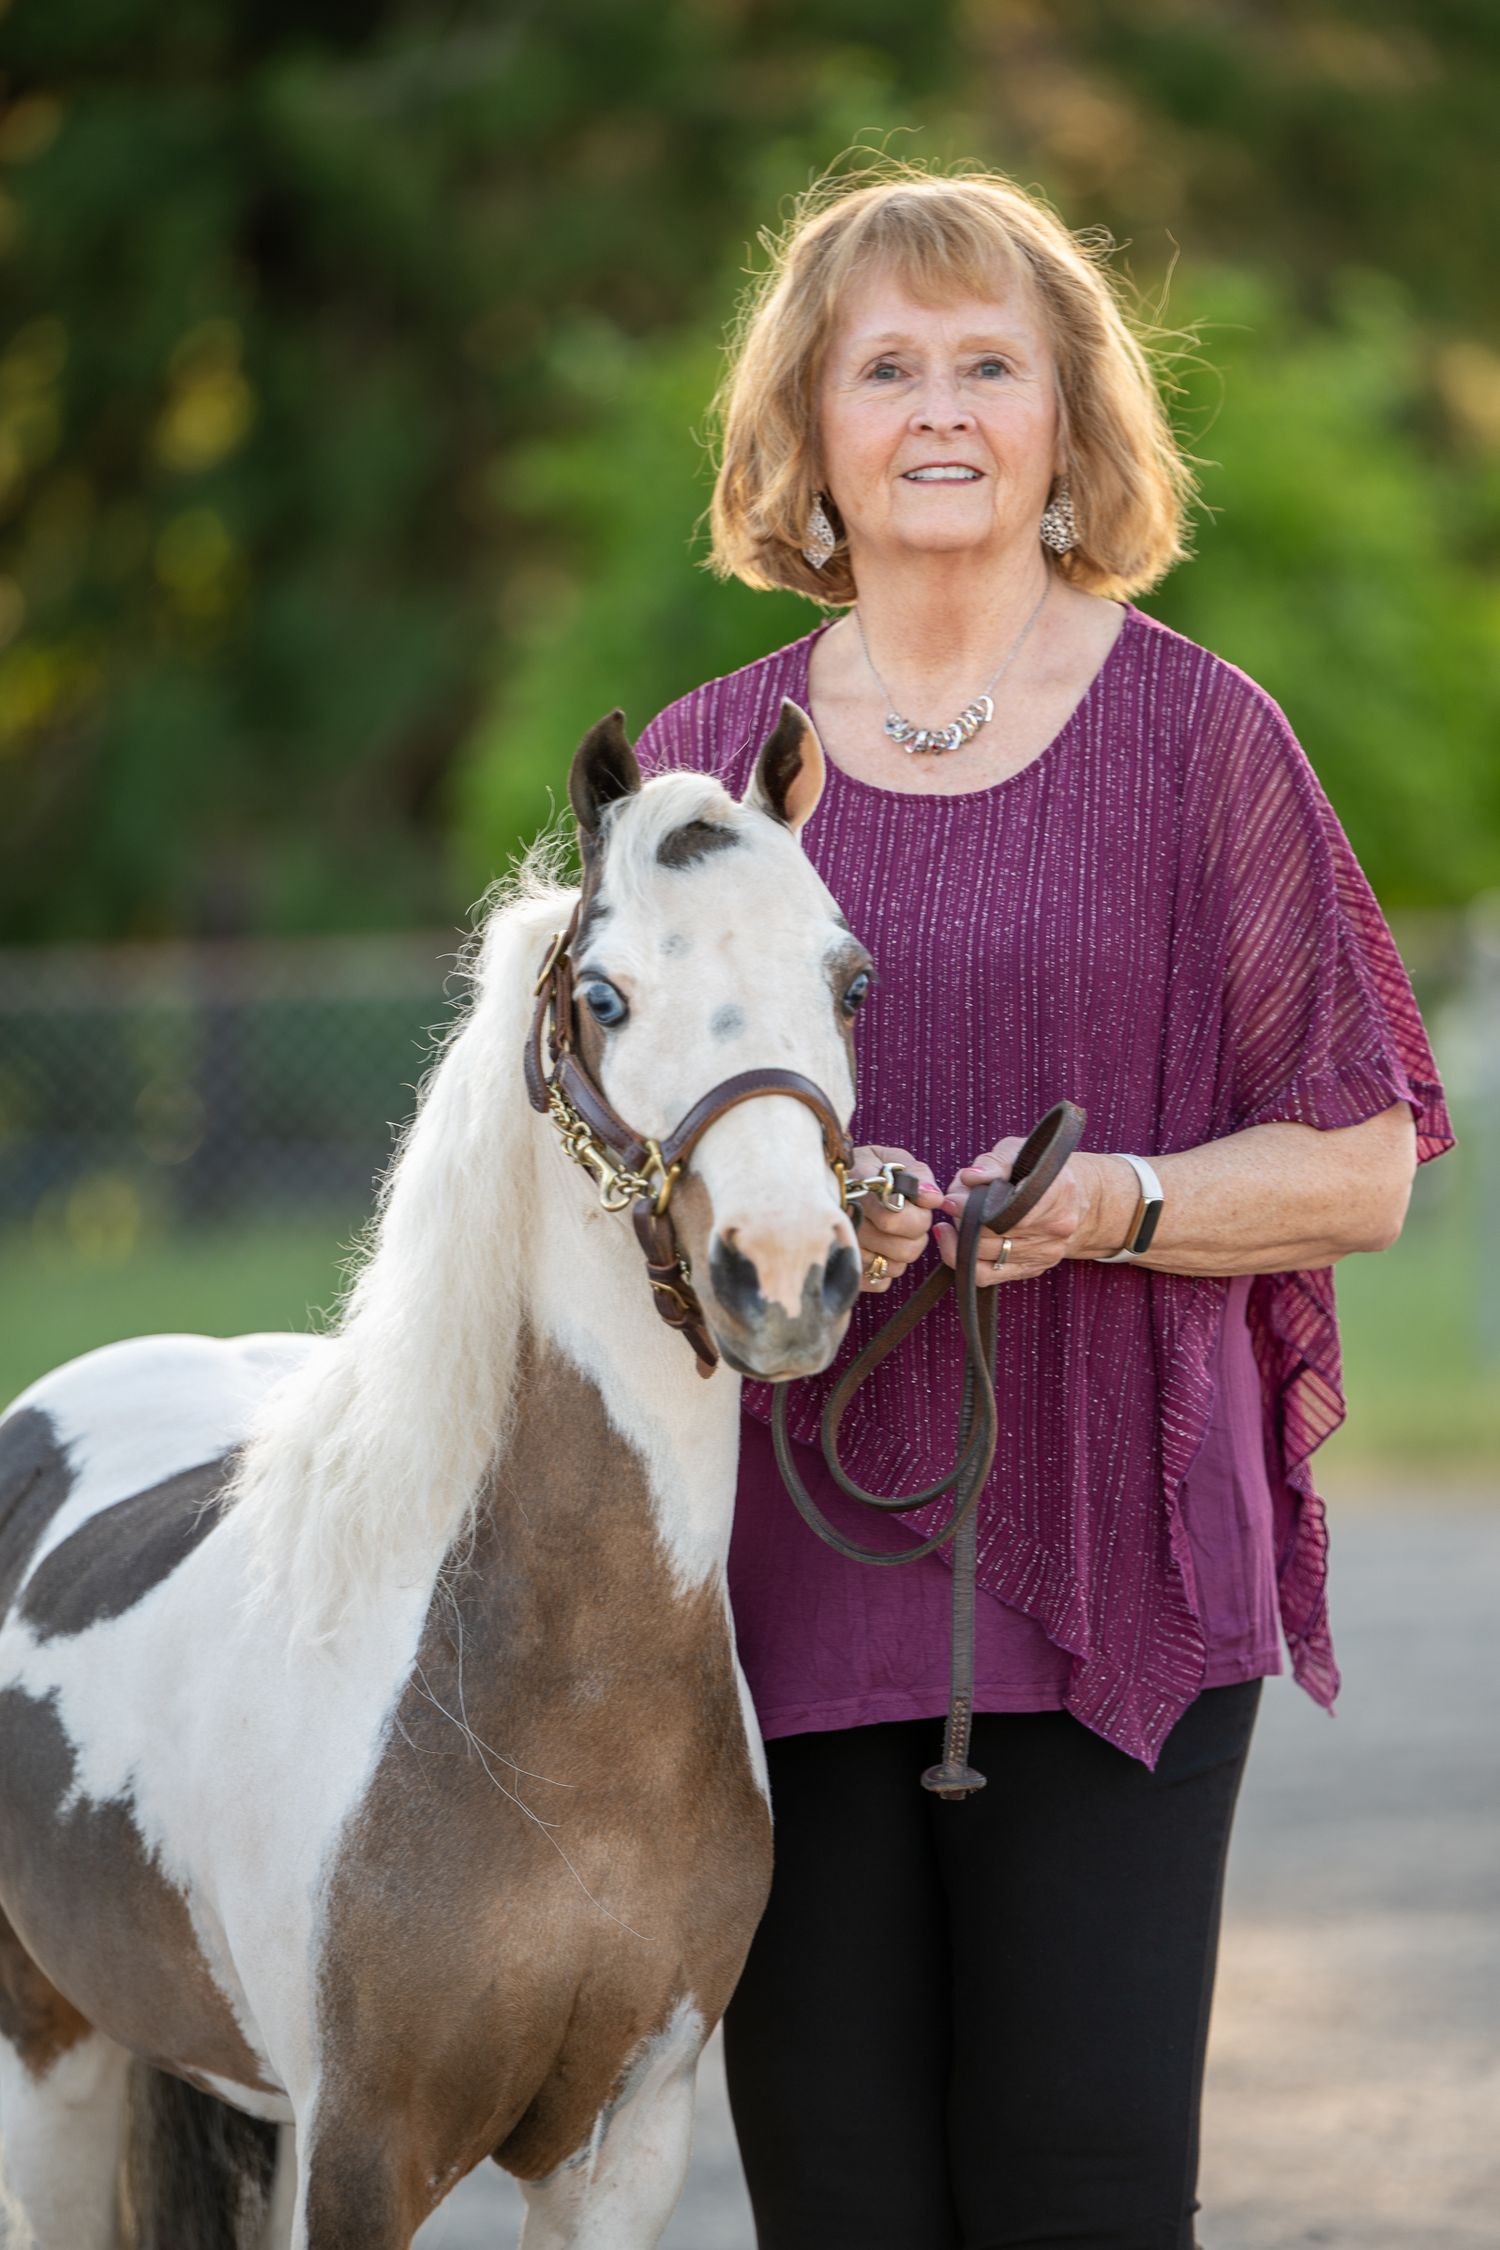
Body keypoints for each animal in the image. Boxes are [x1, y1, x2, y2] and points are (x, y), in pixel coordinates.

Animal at [0, 700, 869, 2249]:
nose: (783, 1274)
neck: (556, 1707)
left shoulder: (622, 2148)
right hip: (50, 2058)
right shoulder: (367, 2152)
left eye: (850, 982)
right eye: (606, 996)